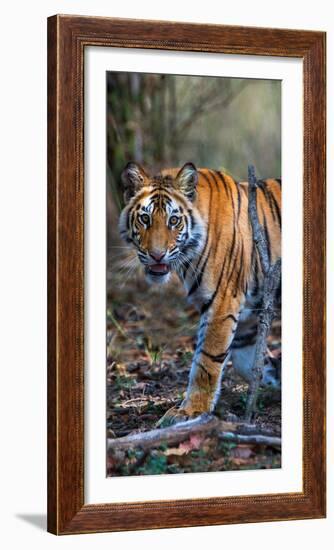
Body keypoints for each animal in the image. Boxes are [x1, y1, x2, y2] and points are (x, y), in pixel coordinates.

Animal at [118, 162, 280, 430]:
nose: (157, 255)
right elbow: (249, 363)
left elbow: (206, 362)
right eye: (145, 218)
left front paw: (190, 412)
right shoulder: (246, 316)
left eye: (174, 220)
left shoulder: (222, 304)